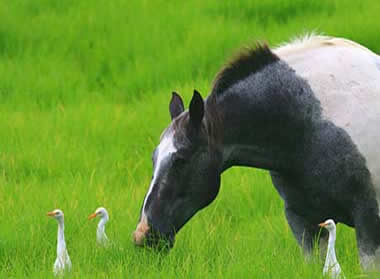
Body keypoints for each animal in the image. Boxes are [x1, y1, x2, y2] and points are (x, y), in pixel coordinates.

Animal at [133, 34, 380, 270]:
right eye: (154, 158)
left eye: (181, 159)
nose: (143, 233)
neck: (308, 126)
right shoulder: (303, 221)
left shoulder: (369, 220)